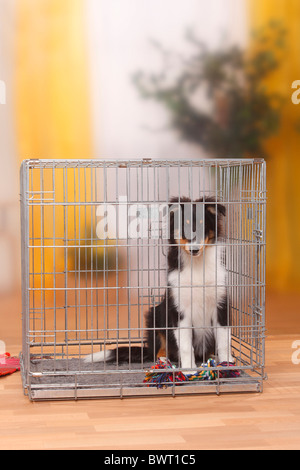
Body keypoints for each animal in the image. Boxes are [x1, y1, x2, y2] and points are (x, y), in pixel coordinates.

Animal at [84, 195, 234, 370]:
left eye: (203, 225)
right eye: (184, 226)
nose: (194, 249)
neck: (196, 264)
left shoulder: (221, 305)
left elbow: (224, 341)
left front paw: (227, 363)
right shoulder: (178, 309)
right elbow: (185, 345)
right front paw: (189, 369)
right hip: (155, 316)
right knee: (160, 350)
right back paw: (163, 363)